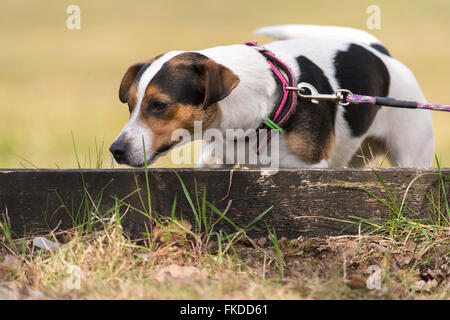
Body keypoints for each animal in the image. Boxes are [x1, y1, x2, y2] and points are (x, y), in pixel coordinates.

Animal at [110, 25, 436, 169]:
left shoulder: (307, 168)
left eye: (159, 105)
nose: (116, 150)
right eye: (130, 105)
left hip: (411, 155)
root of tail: (382, 55)